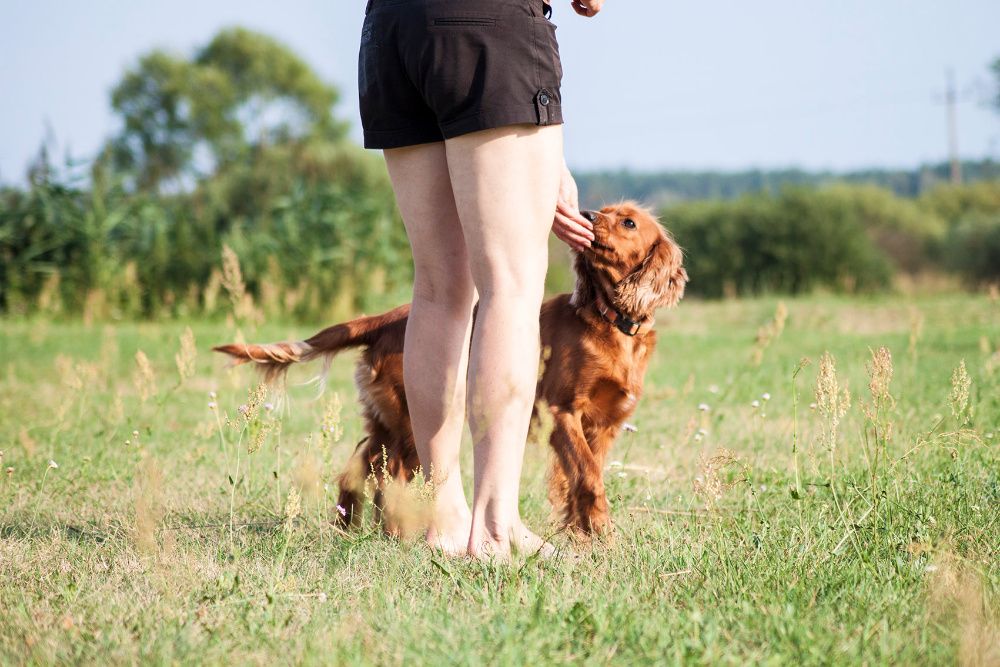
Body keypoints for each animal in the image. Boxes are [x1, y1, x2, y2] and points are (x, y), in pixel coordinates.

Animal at [216, 201, 688, 536]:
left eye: (628, 222)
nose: (585, 215)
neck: (613, 323)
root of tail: (387, 318)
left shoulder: (605, 425)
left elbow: (583, 478)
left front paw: (588, 535)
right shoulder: (562, 412)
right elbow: (588, 473)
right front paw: (600, 531)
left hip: (387, 418)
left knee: (360, 463)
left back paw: (351, 525)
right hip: (412, 419)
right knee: (390, 474)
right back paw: (396, 532)